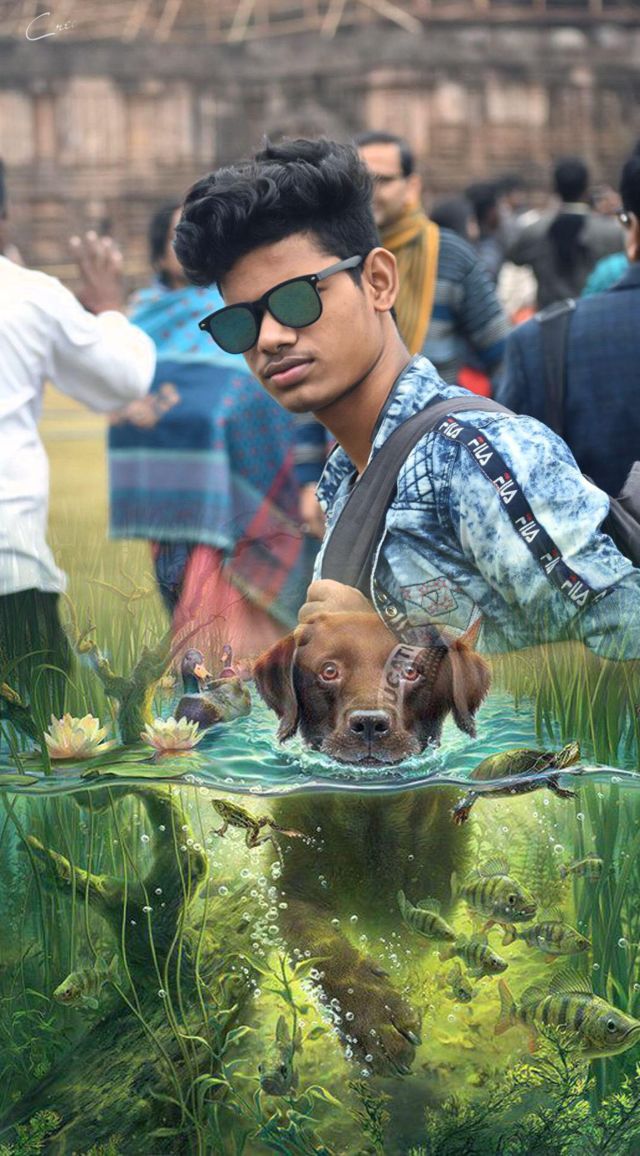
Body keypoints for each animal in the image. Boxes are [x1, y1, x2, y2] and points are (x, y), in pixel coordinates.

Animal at [252, 610, 490, 1076]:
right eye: (329, 671)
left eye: (412, 672)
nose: (369, 724)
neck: (370, 821)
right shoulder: (290, 890)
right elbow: (324, 948)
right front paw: (372, 1016)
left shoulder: (434, 889)